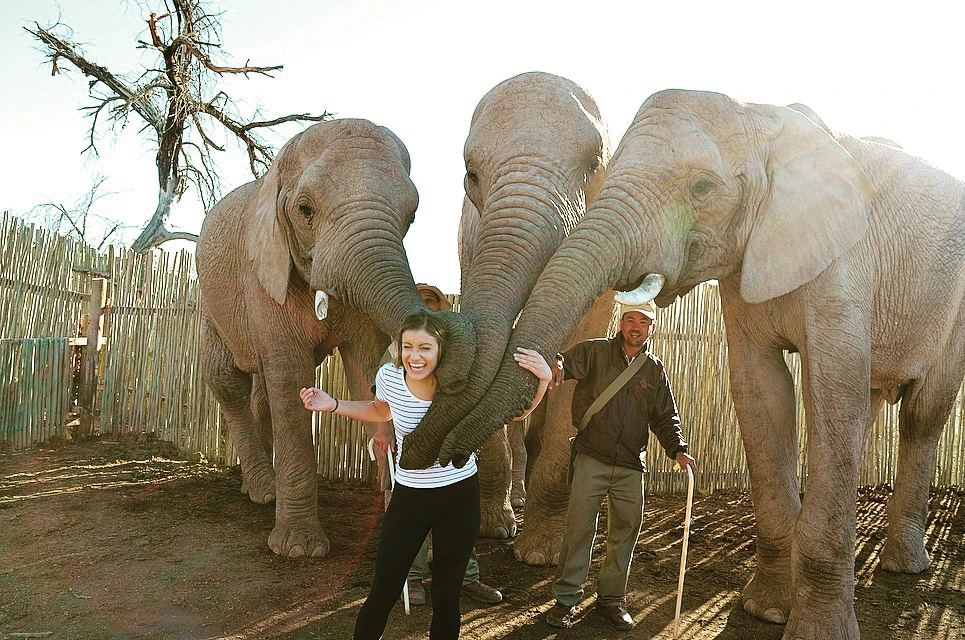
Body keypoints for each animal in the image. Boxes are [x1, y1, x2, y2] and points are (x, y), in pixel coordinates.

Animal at [199, 117, 474, 556]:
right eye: (305, 210)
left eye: (411, 216)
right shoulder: (265, 273)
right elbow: (290, 378)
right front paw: (298, 550)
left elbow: (364, 370)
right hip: (210, 300)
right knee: (228, 379)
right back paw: (262, 491)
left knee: (262, 385)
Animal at [398, 71, 612, 540]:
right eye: (471, 175)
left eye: (594, 166)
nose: (447, 455)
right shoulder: (471, 240)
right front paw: (493, 529)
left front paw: (542, 550)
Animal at [448, 87, 964, 636]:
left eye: (702, 187)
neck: (761, 117)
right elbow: (760, 392)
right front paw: (765, 610)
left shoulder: (843, 264)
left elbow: (832, 391)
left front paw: (815, 630)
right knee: (869, 409)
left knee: (922, 415)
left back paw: (903, 565)